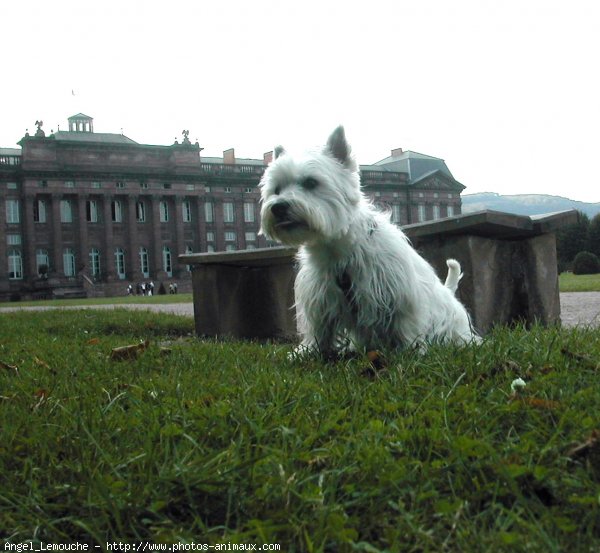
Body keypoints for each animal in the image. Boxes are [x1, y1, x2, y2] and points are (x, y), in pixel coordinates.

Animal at [260, 126, 476, 356]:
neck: (338, 248)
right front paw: (307, 351)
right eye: (276, 189)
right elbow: (319, 329)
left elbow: (405, 324)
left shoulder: (399, 295)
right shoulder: (319, 298)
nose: (278, 207)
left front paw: (411, 350)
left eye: (311, 182)